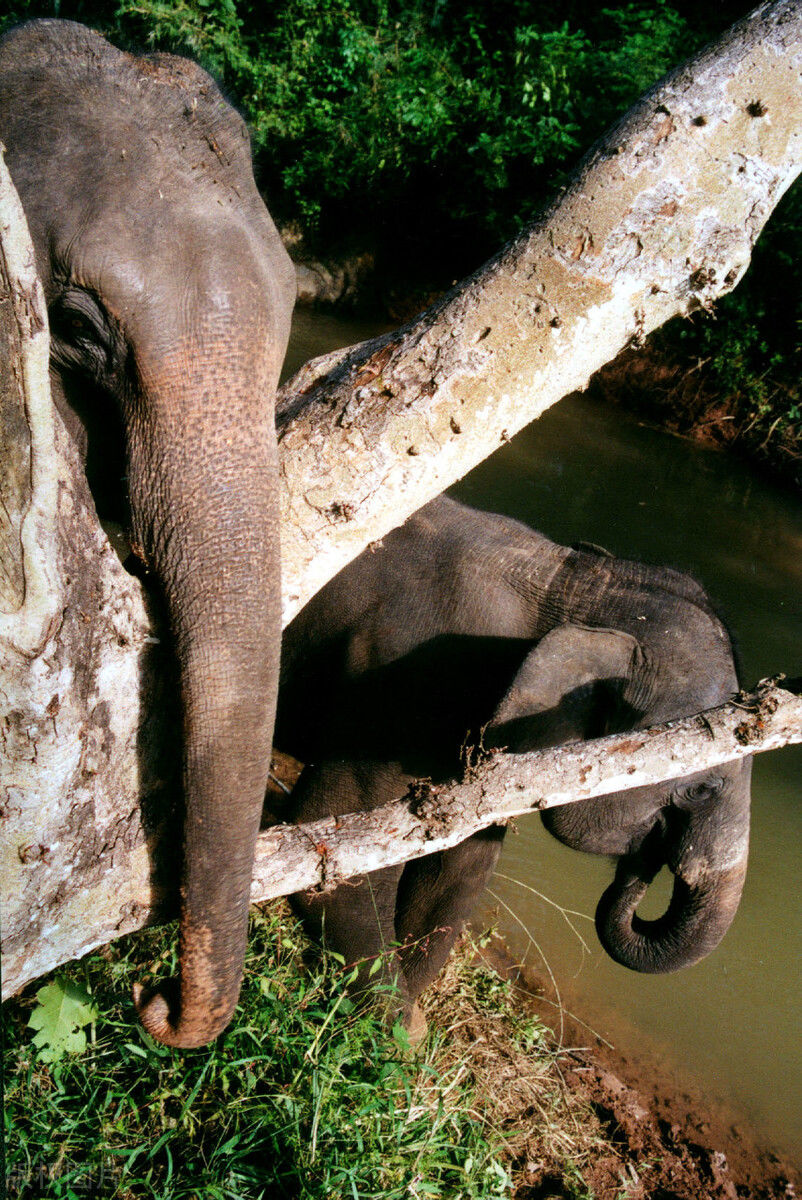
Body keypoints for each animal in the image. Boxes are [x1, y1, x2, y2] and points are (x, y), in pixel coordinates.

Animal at [277, 492, 753, 1027]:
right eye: (702, 787)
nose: (645, 864)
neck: (568, 581)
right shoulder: (401, 694)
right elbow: (331, 849)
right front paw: (400, 1028)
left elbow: (461, 868)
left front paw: (411, 1029)